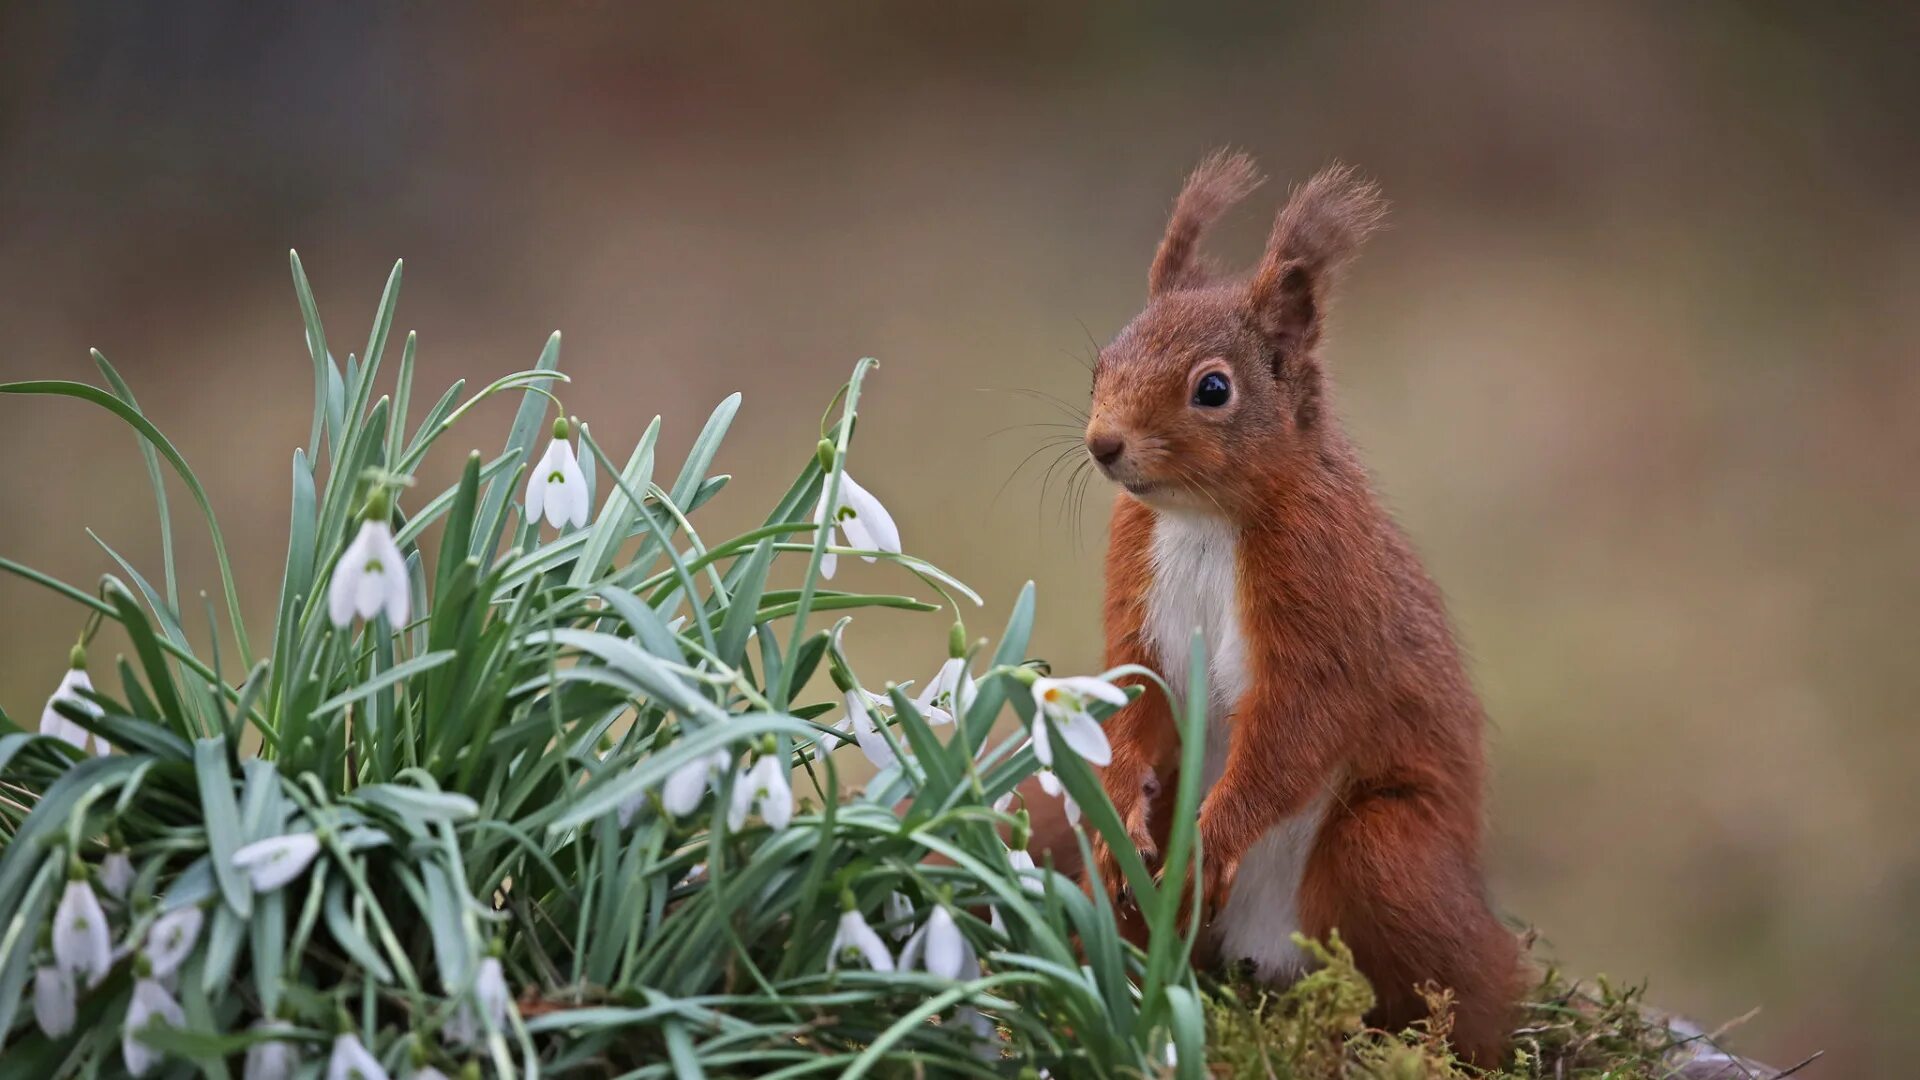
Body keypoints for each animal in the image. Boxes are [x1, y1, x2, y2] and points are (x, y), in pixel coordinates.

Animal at [1082, 151, 1528, 1060]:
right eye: (1101, 362)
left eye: (1213, 388)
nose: (1103, 444)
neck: (1203, 519)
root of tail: (1260, 954)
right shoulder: (1134, 585)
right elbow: (1136, 688)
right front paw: (1120, 805)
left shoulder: (1324, 593)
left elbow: (1297, 726)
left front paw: (1212, 840)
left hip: (1386, 853)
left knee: (1470, 992)